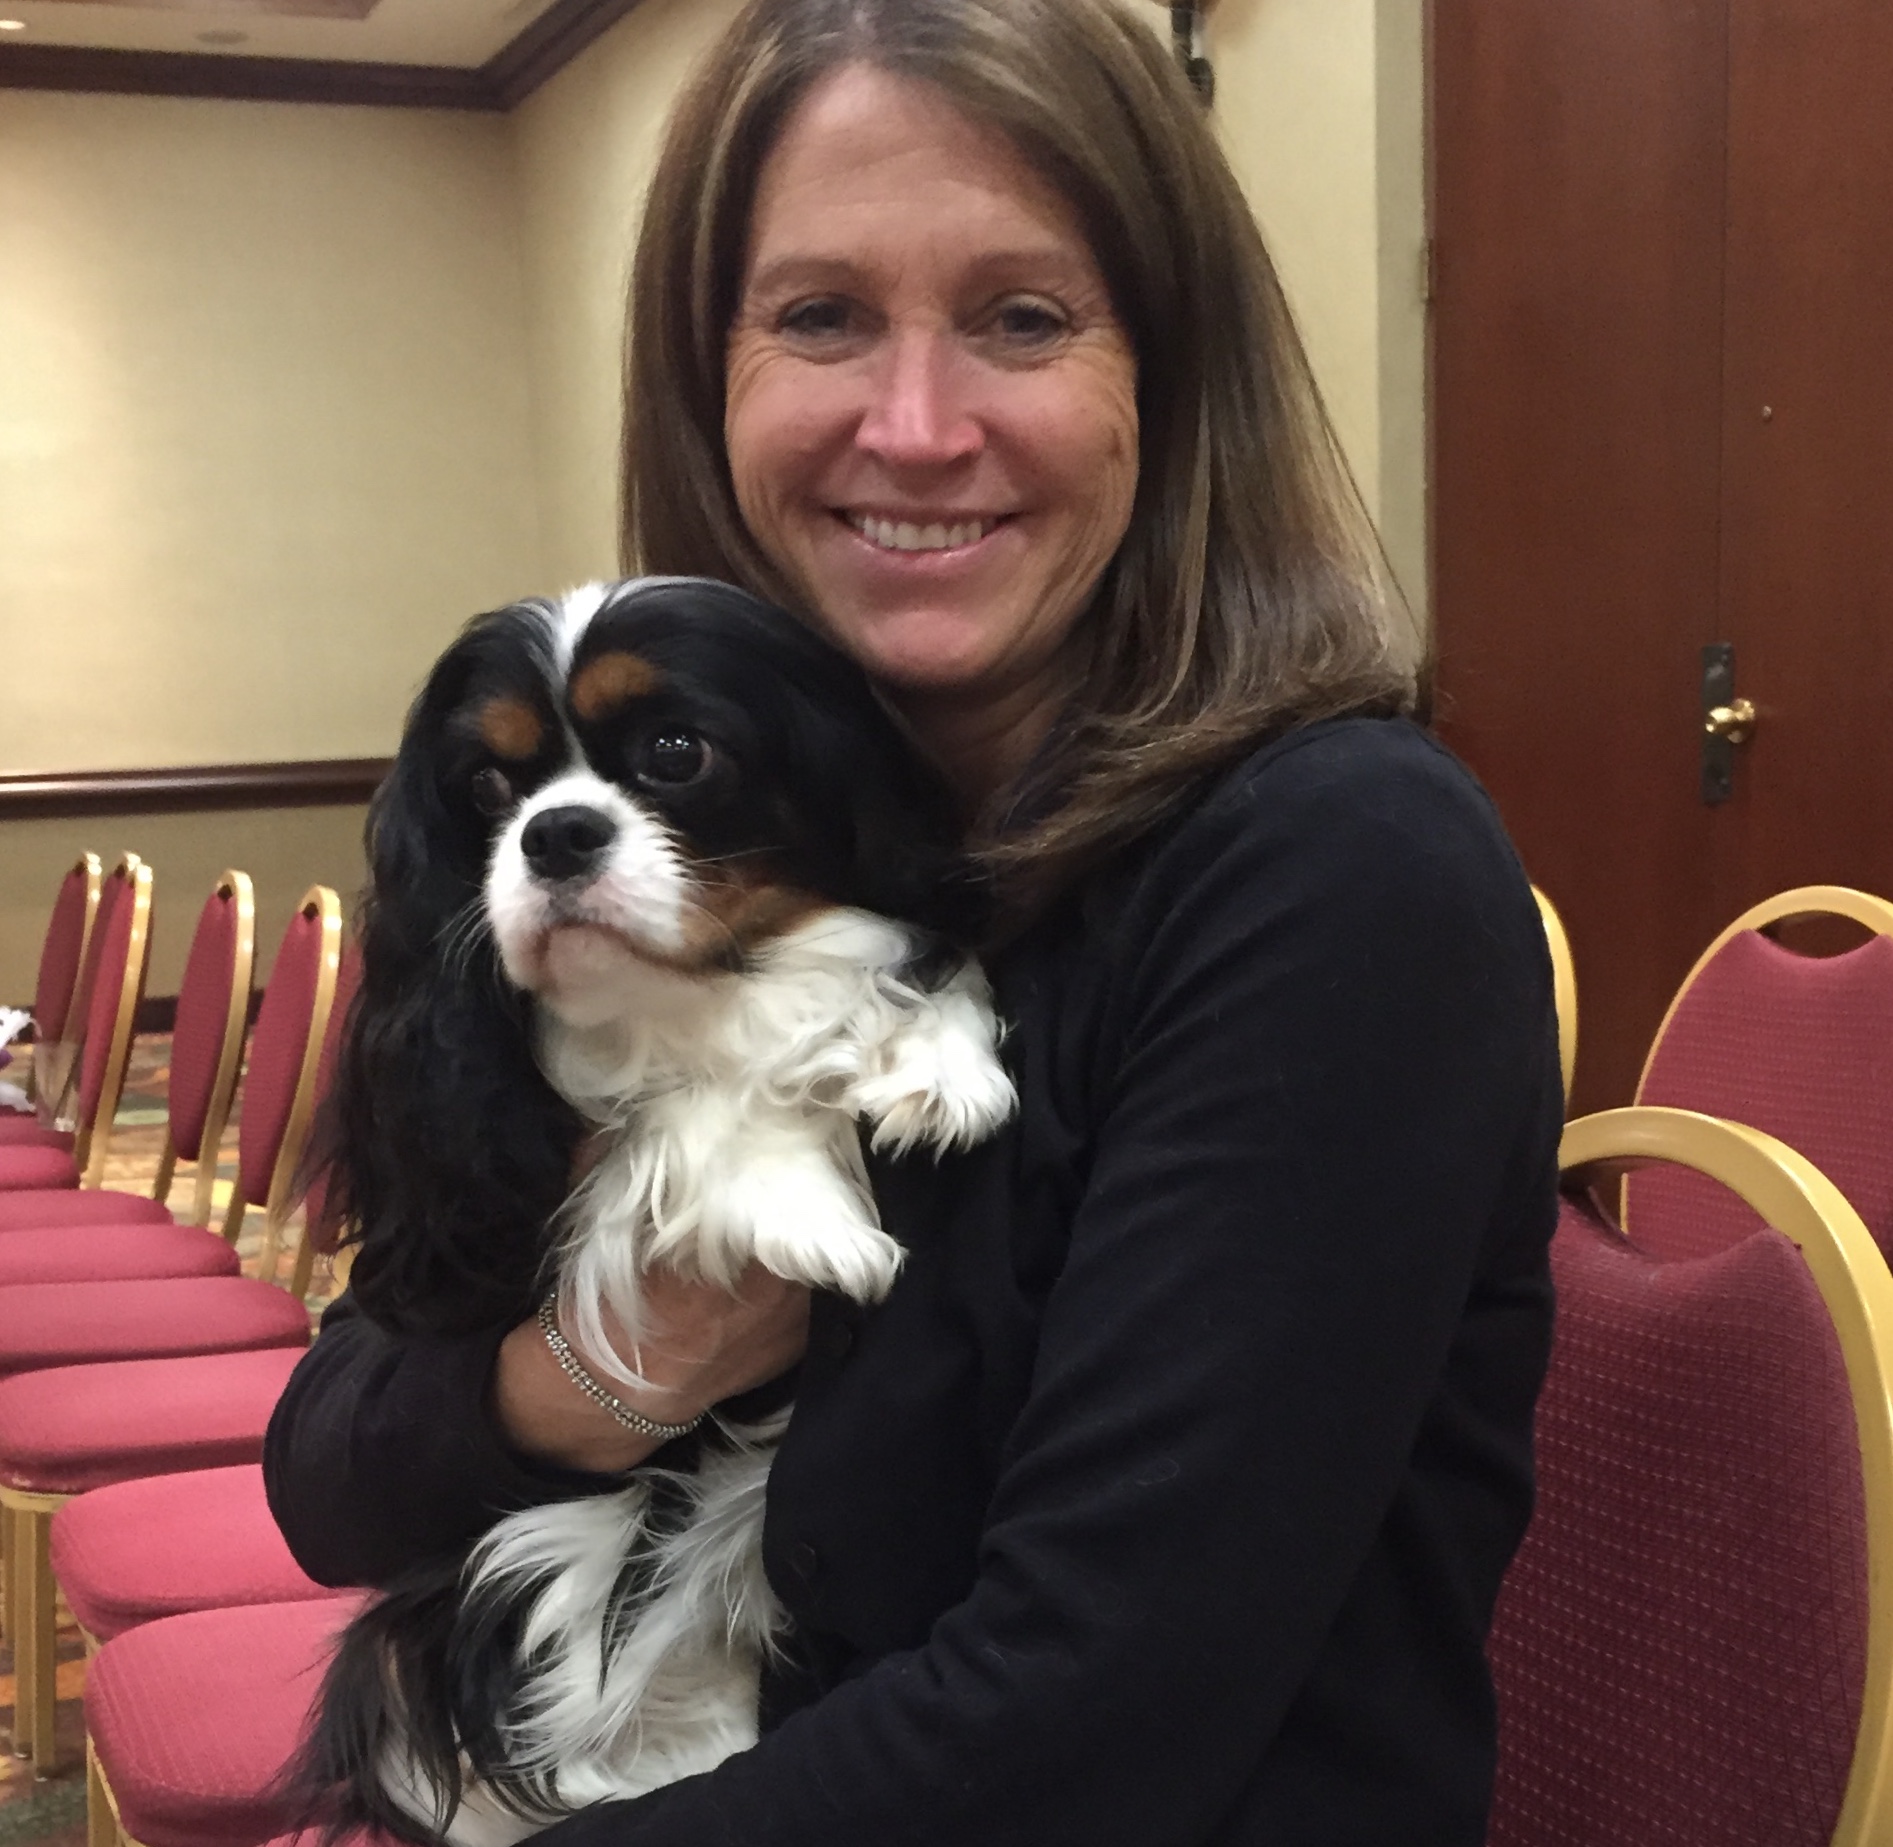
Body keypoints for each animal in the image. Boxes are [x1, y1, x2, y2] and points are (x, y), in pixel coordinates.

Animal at [302, 579, 1022, 1847]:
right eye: (485, 788)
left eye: (676, 753)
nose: (554, 831)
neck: (701, 992)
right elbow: (677, 1121)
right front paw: (811, 1211)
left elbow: (917, 970)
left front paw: (937, 1068)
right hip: (423, 1636)